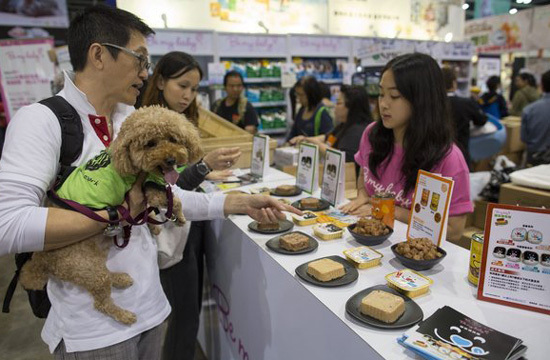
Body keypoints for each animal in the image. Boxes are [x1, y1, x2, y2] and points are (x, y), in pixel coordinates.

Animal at [20, 105, 205, 324]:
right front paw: (179, 218)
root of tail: (41, 259)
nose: (171, 159)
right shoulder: (148, 190)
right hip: (85, 266)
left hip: (93, 262)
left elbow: (148, 212)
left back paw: (120, 278)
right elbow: (173, 201)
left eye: (173, 139)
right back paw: (125, 315)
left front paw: (154, 227)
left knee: (105, 278)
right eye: (150, 144)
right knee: (101, 303)